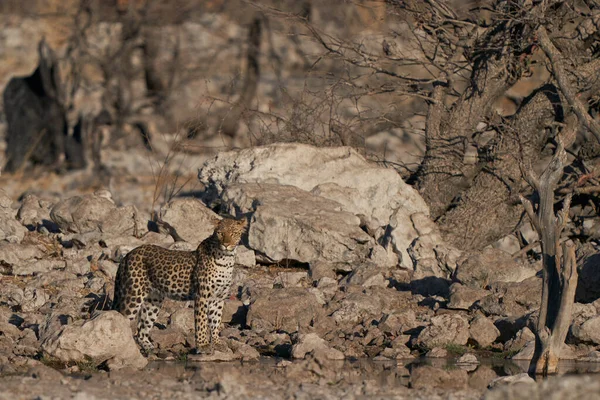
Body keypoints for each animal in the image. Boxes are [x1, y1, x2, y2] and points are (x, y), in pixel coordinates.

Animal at [112, 217, 246, 354]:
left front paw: (217, 343)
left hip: (153, 301)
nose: (226, 244)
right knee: (122, 319)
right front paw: (203, 345)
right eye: (220, 233)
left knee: (141, 330)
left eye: (234, 233)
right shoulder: (202, 296)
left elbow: (216, 321)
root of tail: (129, 254)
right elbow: (202, 322)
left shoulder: (218, 298)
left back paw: (149, 348)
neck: (226, 260)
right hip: (134, 295)